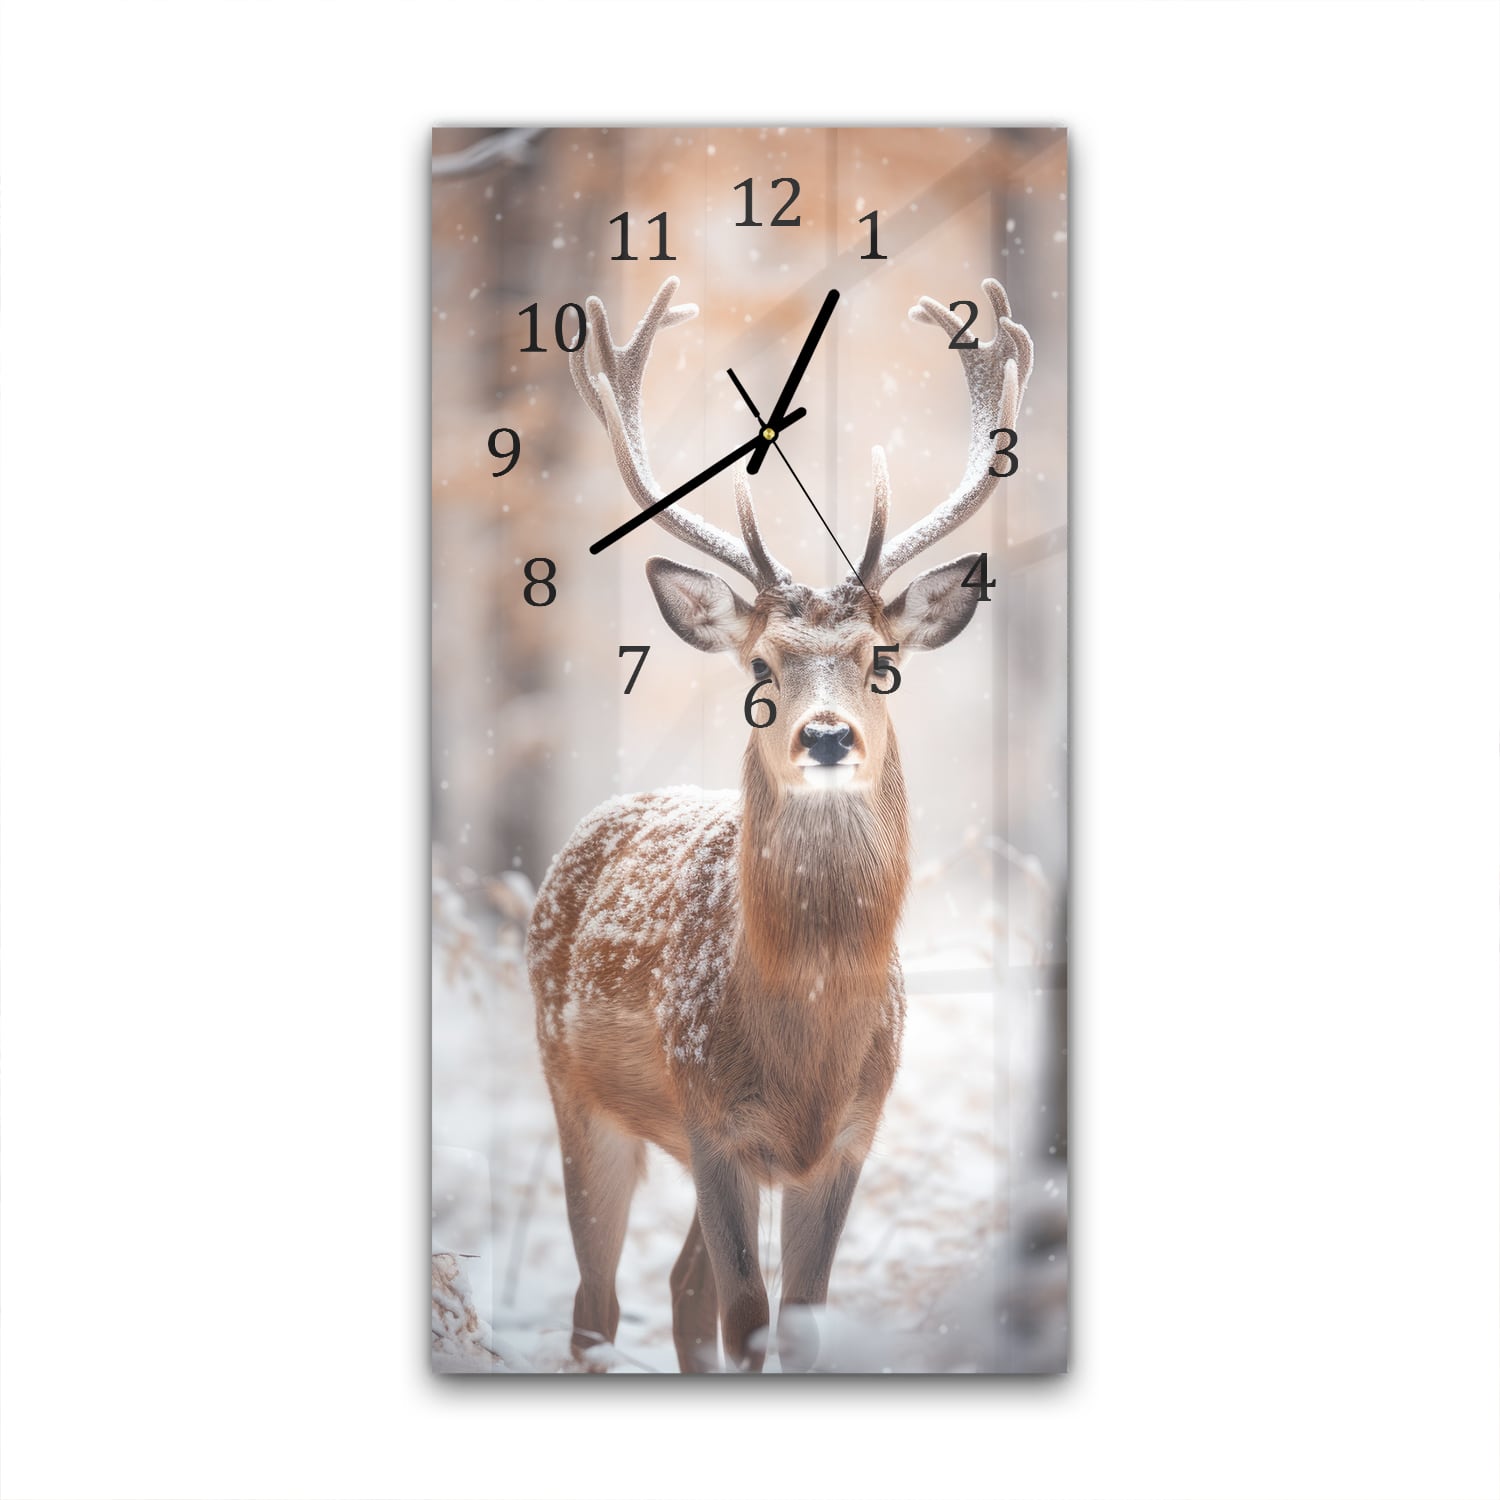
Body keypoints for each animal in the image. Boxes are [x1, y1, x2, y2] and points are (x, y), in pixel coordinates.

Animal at [527, 275, 1033, 1372]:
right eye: (761, 665)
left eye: (885, 659)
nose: (828, 735)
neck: (805, 1036)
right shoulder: (711, 1119)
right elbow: (746, 1315)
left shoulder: (849, 1136)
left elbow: (793, 1320)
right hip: (575, 1090)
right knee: (599, 1304)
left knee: (679, 1288)